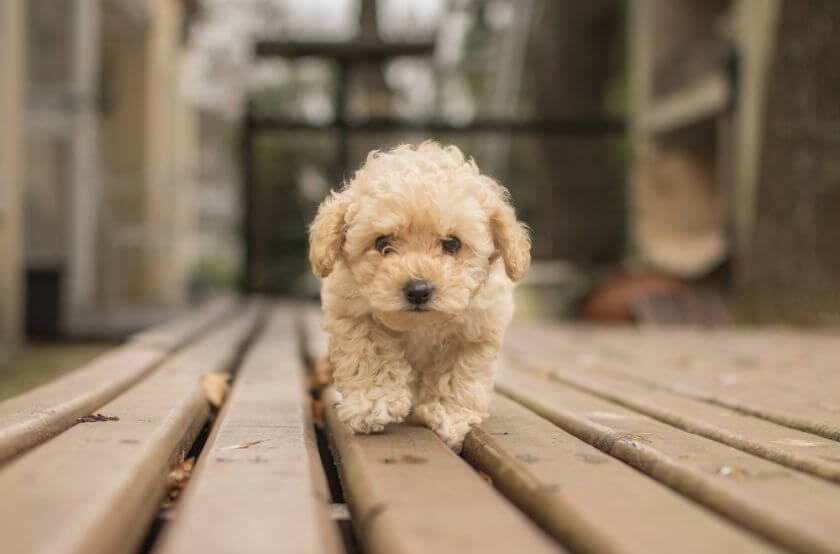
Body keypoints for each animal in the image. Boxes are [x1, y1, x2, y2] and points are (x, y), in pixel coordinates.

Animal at [308, 139, 532, 448]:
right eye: (383, 243)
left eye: (452, 244)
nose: (417, 291)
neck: (421, 325)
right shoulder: (353, 314)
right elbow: (371, 354)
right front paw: (373, 404)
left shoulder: (476, 329)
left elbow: (459, 372)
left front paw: (447, 413)